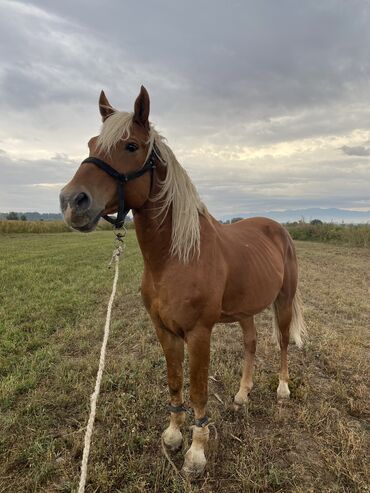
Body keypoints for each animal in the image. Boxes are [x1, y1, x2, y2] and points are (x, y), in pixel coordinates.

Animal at [59, 86, 304, 474]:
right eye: (91, 144)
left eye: (131, 146)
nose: (71, 202)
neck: (176, 258)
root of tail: (278, 228)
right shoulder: (165, 330)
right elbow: (175, 383)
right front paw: (173, 436)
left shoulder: (199, 334)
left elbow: (197, 392)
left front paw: (196, 453)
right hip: (246, 310)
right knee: (251, 344)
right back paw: (241, 395)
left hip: (283, 300)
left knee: (281, 342)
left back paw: (282, 389)